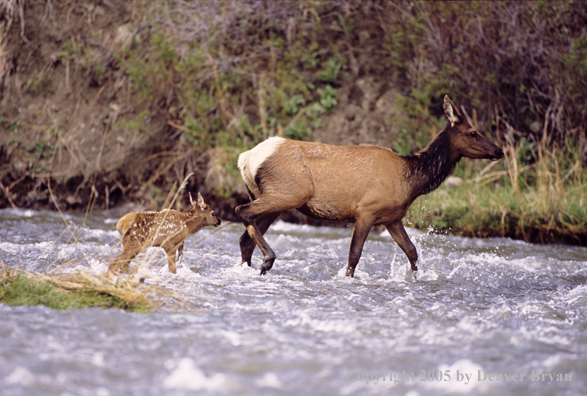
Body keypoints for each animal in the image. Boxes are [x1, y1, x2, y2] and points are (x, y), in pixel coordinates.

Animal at [237, 95, 504, 278]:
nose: (499, 150)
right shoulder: (366, 211)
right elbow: (354, 256)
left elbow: (412, 251)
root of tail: (245, 158)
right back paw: (268, 259)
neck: (411, 181)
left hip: (272, 197)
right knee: (242, 211)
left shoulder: (392, 218)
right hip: (288, 194)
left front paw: (417, 278)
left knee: (244, 239)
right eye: (473, 132)